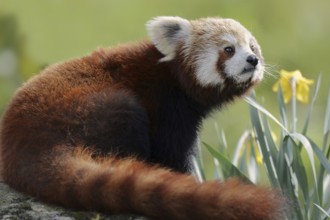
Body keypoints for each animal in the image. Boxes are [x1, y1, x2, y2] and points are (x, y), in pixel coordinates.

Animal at [0, 16, 284, 219]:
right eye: (228, 49)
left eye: (253, 46)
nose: (253, 60)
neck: (171, 75)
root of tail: (26, 142)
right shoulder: (166, 106)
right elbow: (172, 151)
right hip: (99, 109)